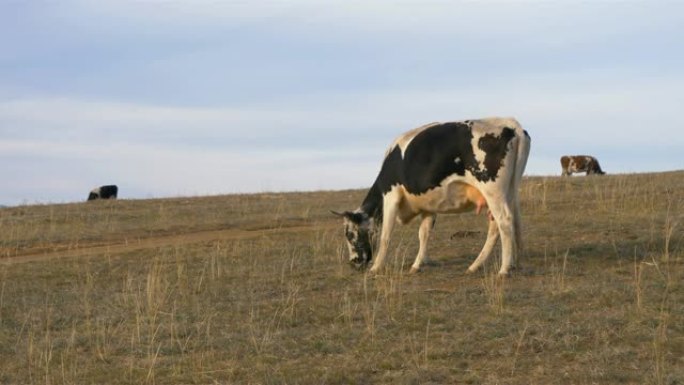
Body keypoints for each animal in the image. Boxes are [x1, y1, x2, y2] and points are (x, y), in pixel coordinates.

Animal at [334, 117, 532, 276]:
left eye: (349, 234)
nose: (354, 263)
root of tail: (511, 124)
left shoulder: (391, 195)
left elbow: (386, 235)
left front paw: (376, 267)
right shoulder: (429, 205)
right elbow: (424, 233)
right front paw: (418, 264)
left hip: (492, 190)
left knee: (504, 222)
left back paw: (503, 270)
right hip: (509, 191)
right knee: (506, 223)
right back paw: (491, 265)